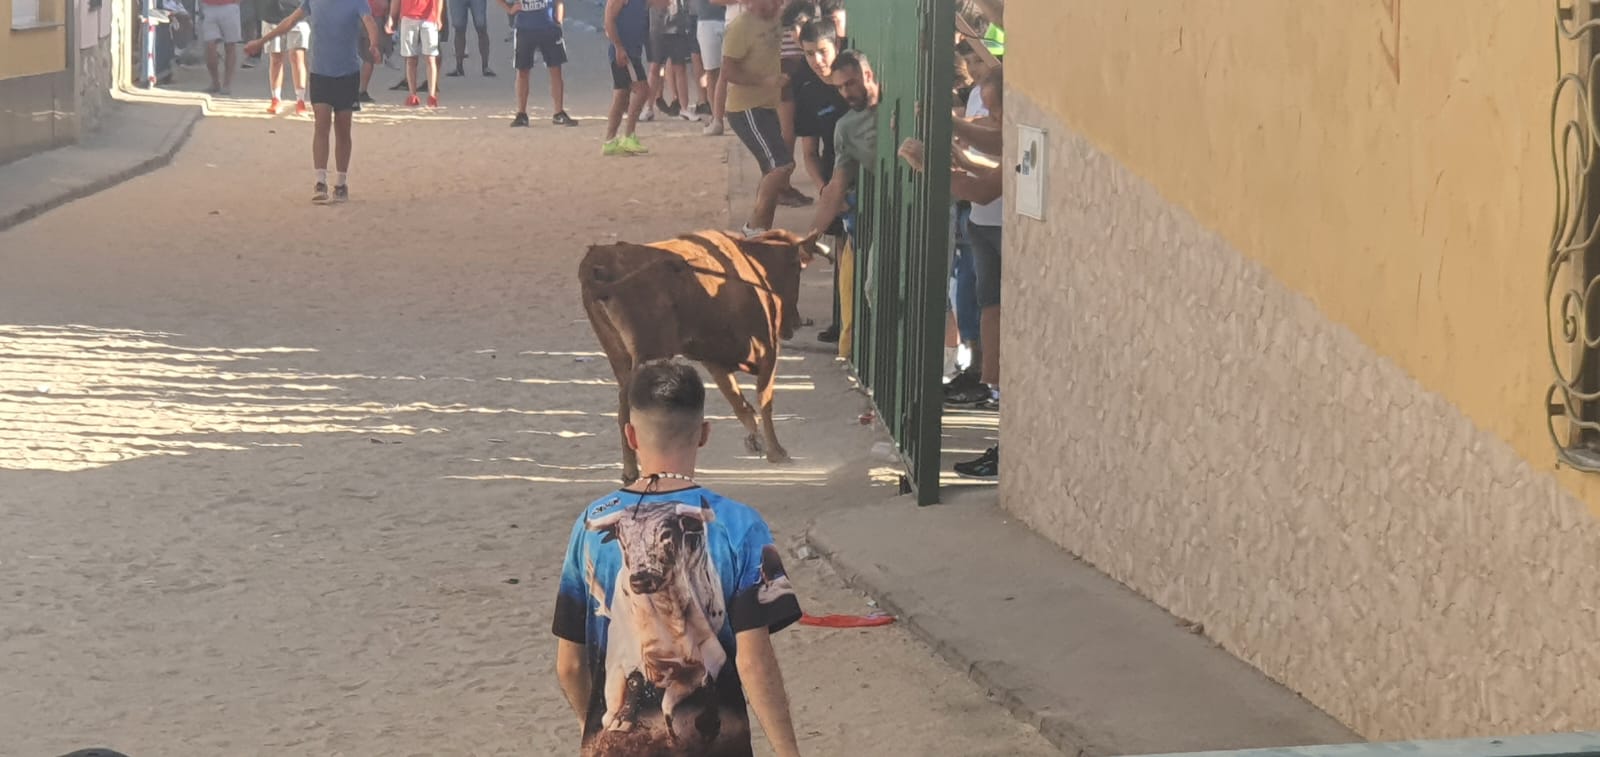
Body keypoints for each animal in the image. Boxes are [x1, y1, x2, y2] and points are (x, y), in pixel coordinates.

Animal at [579, 227, 825, 480]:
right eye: (797, 268)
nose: (794, 324)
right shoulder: (767, 349)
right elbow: (764, 400)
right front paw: (776, 452)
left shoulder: (713, 359)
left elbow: (738, 401)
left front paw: (755, 439)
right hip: (647, 353)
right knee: (629, 405)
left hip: (619, 356)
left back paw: (629, 471)